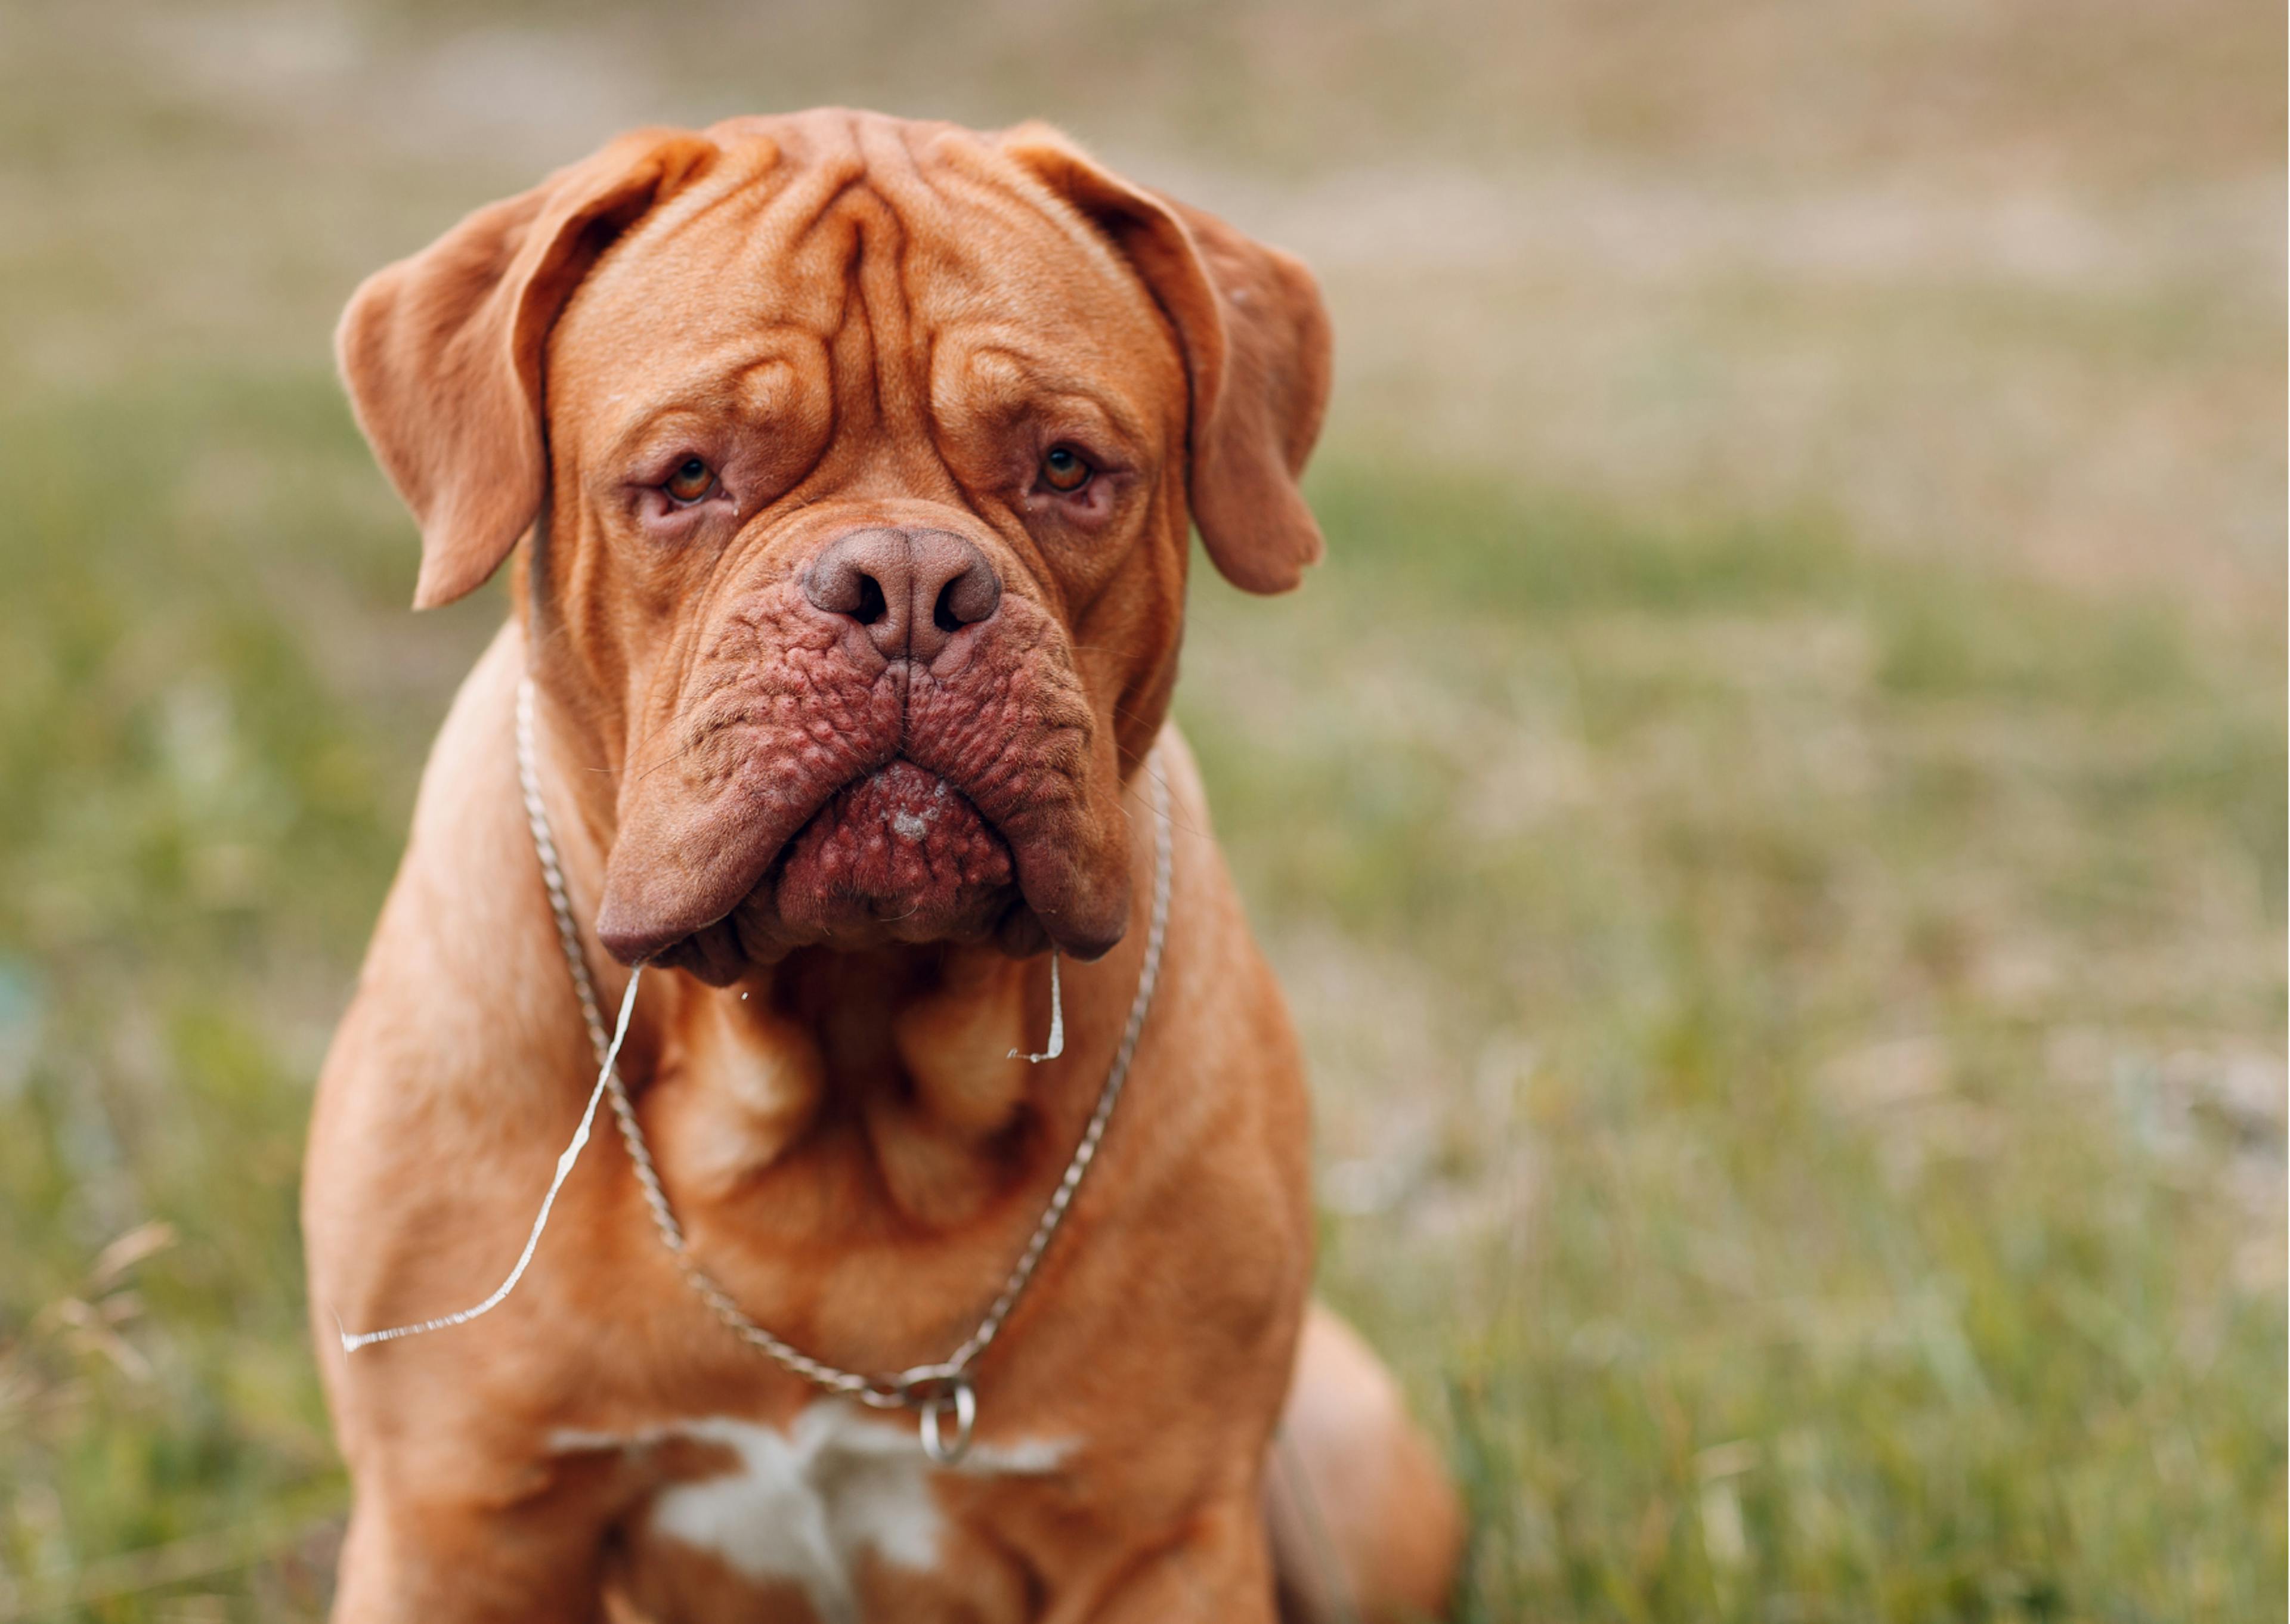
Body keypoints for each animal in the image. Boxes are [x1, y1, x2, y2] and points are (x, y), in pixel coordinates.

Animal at [304, 107, 1456, 1612]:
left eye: (1065, 467)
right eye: (687, 477)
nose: (908, 584)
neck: (837, 1069)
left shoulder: (1160, 1534)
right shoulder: (456, 1522)